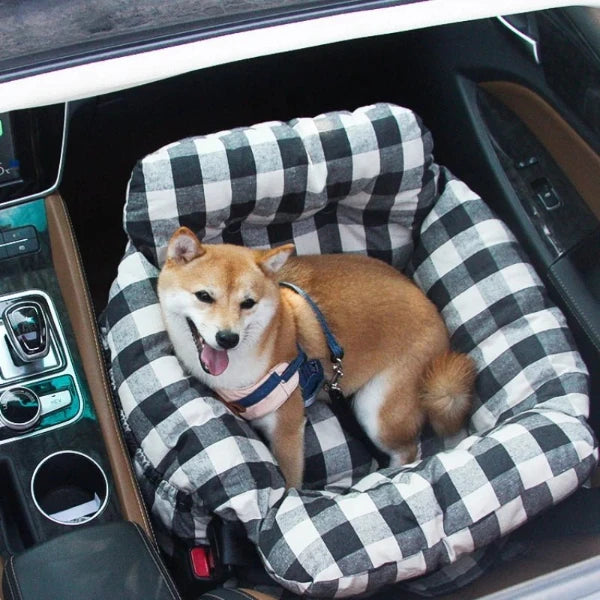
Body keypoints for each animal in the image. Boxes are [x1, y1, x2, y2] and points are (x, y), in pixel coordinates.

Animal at [157, 225, 476, 488]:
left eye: (248, 303)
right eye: (204, 296)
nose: (227, 338)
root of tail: (436, 316)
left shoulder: (287, 428)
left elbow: (290, 482)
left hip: (377, 409)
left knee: (408, 451)